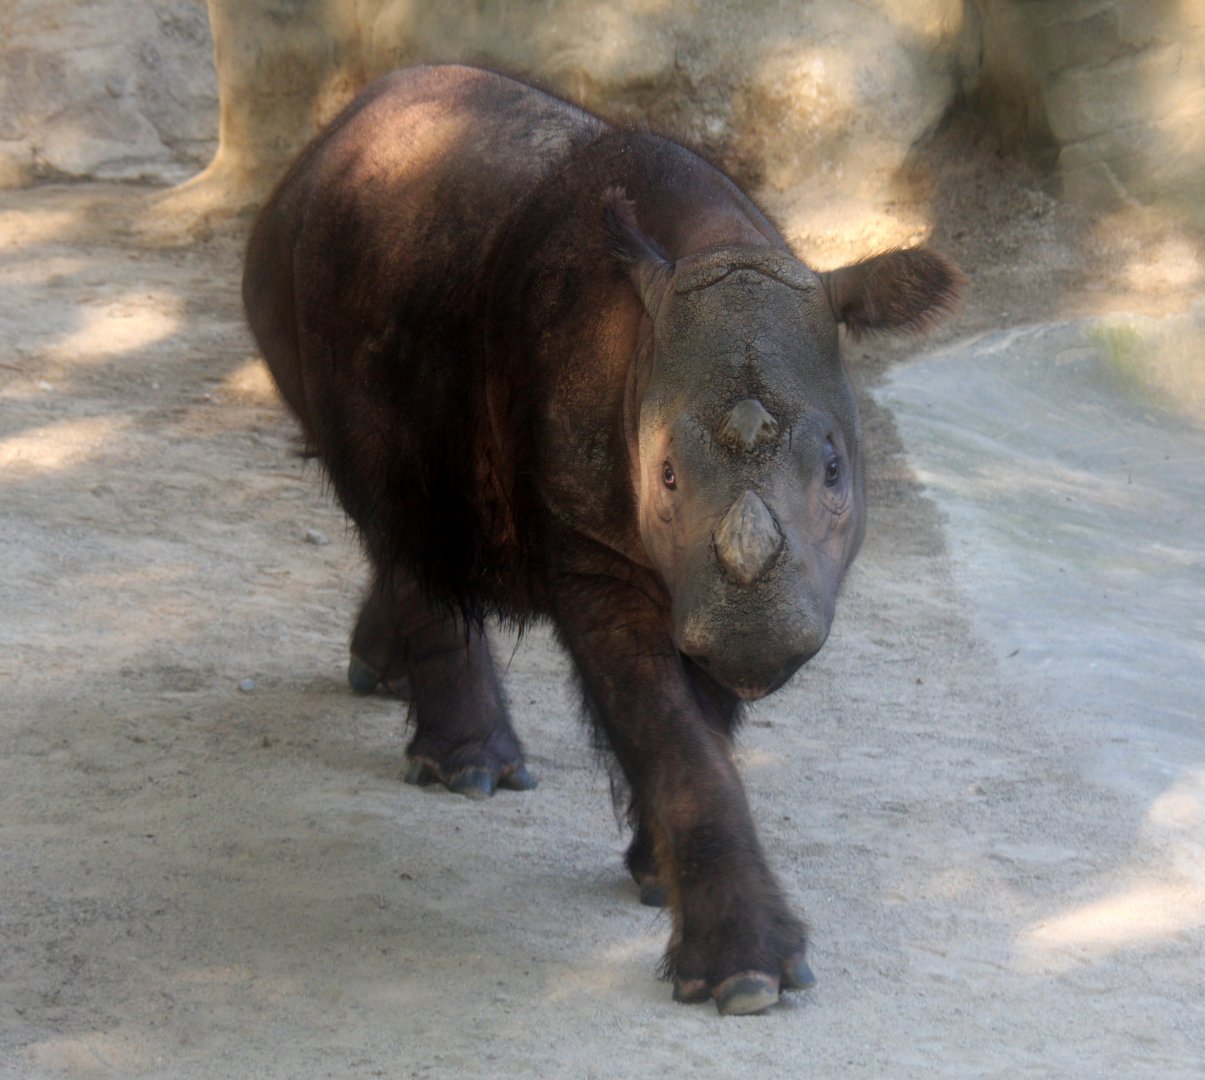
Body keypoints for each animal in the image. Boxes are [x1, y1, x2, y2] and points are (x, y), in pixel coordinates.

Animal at [242, 64, 960, 1014]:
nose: (758, 641)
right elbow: (667, 729)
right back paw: (472, 773)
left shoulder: (700, 578)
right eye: (663, 475)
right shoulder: (593, 542)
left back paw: (382, 675)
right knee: (389, 507)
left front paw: (656, 876)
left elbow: (703, 721)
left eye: (836, 469)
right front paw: (747, 980)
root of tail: (331, 134)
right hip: (302, 281)